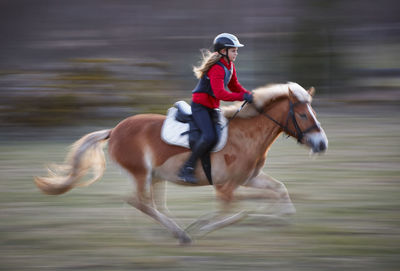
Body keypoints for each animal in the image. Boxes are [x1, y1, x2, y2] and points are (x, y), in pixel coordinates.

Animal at [34, 82, 328, 244]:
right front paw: (200, 227)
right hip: (142, 173)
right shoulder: (226, 187)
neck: (246, 134)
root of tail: (114, 130)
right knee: (140, 202)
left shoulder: (249, 178)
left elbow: (280, 192)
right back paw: (179, 235)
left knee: (148, 204)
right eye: (303, 114)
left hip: (155, 177)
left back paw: (161, 234)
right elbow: (233, 211)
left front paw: (277, 217)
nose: (322, 144)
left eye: (313, 111)